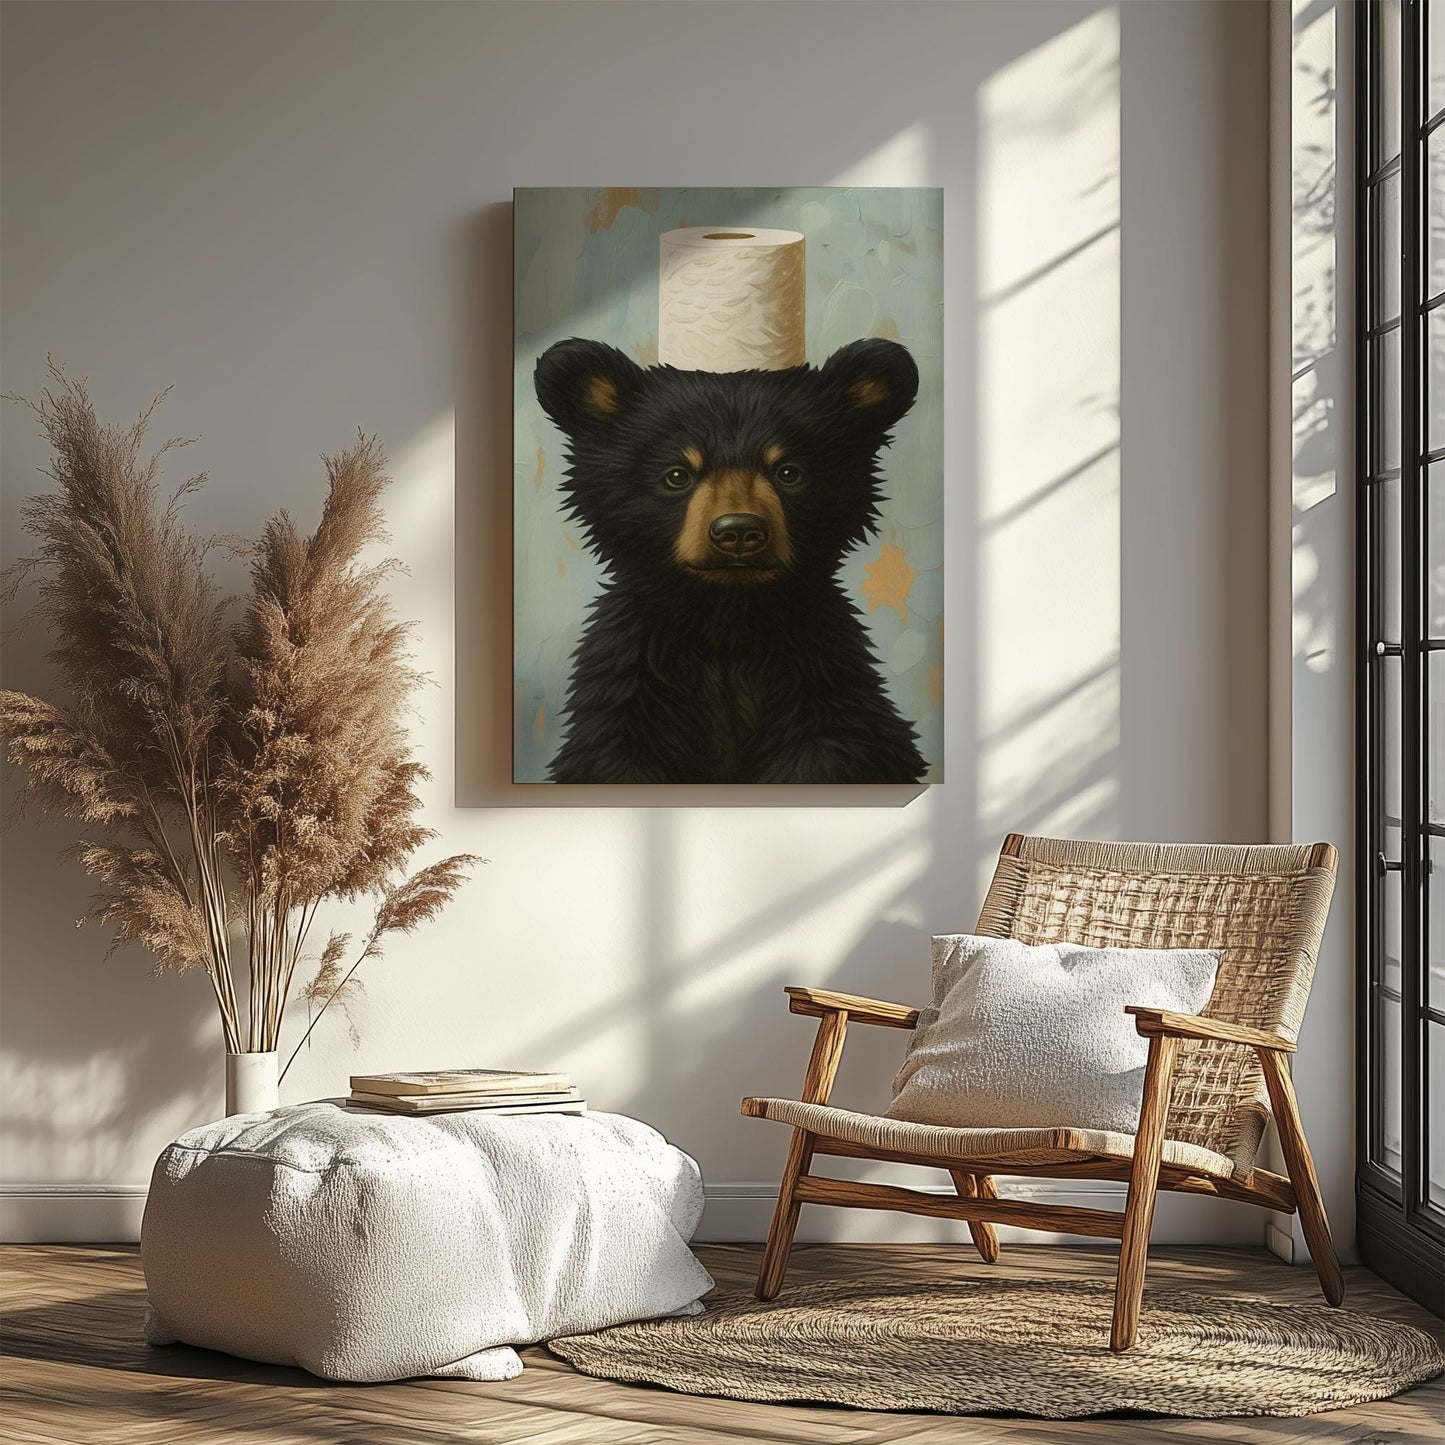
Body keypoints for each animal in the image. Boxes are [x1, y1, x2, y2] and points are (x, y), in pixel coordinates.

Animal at [533, 336, 928, 784]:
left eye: (788, 472)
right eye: (677, 475)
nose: (738, 531)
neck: (728, 618)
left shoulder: (824, 679)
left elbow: (836, 749)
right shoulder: (628, 688)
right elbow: (610, 755)